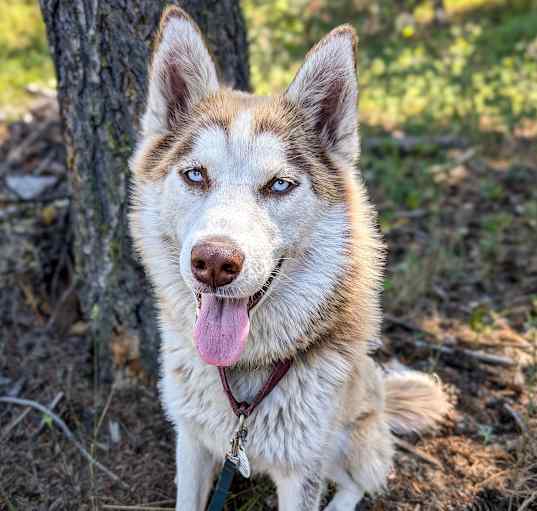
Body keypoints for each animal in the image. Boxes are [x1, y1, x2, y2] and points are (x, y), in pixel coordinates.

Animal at [129, 5, 448, 511]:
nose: (214, 262)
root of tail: (381, 394)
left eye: (279, 184)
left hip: (348, 440)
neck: (244, 380)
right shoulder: (192, 442)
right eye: (196, 175)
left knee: (361, 480)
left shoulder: (303, 473)